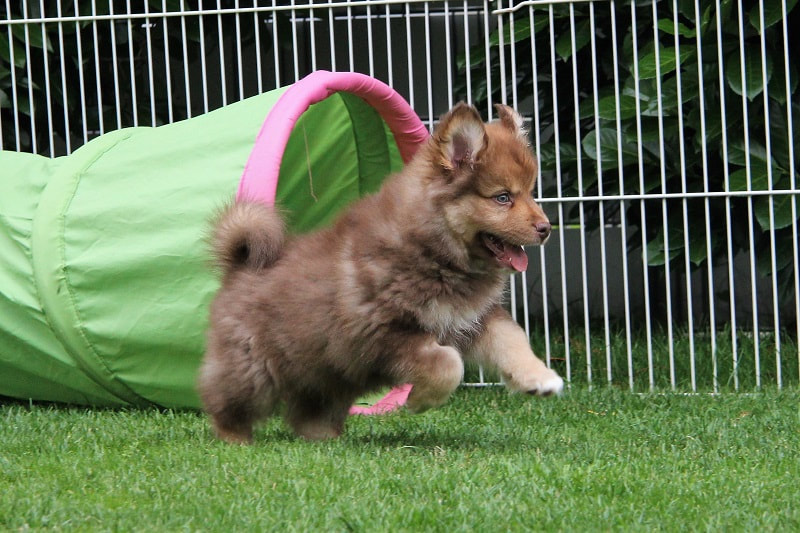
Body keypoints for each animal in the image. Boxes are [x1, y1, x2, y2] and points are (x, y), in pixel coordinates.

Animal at [198, 102, 564, 442]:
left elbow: (513, 339)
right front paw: (421, 401)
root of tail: (239, 268)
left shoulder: (474, 317)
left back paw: (324, 438)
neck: (438, 255)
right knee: (225, 403)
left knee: (308, 410)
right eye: (503, 198)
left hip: (323, 373)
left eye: (530, 193)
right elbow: (449, 365)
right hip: (253, 369)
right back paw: (234, 439)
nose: (546, 228)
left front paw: (540, 378)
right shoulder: (386, 332)